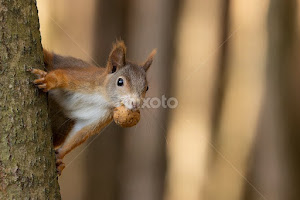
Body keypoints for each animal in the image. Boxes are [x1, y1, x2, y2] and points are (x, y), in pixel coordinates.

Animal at [29, 41, 156, 175]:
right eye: (120, 82)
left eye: (147, 87)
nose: (135, 103)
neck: (103, 98)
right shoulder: (84, 78)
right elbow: (62, 76)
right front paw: (48, 81)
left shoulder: (102, 116)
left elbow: (81, 132)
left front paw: (59, 157)